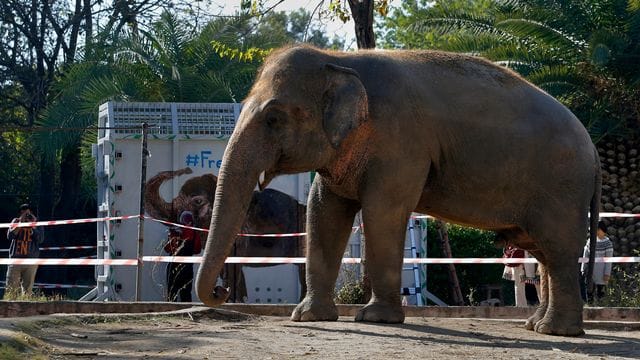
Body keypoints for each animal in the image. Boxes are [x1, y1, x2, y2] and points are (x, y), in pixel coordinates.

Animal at [195, 45, 600, 338]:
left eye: (273, 118)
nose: (222, 291)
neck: (339, 59)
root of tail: (593, 149)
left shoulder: (401, 142)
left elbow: (382, 211)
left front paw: (375, 319)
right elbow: (323, 211)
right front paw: (308, 317)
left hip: (562, 186)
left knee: (557, 250)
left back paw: (556, 332)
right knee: (543, 252)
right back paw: (535, 326)